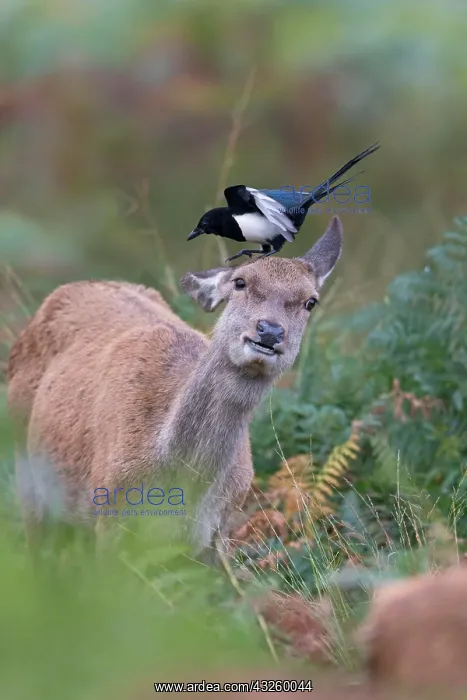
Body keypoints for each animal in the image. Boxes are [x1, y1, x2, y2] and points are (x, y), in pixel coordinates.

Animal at [7, 215, 343, 565]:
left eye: (310, 301)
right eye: (240, 282)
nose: (270, 331)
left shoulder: (218, 532)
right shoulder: (109, 511)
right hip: (24, 460)